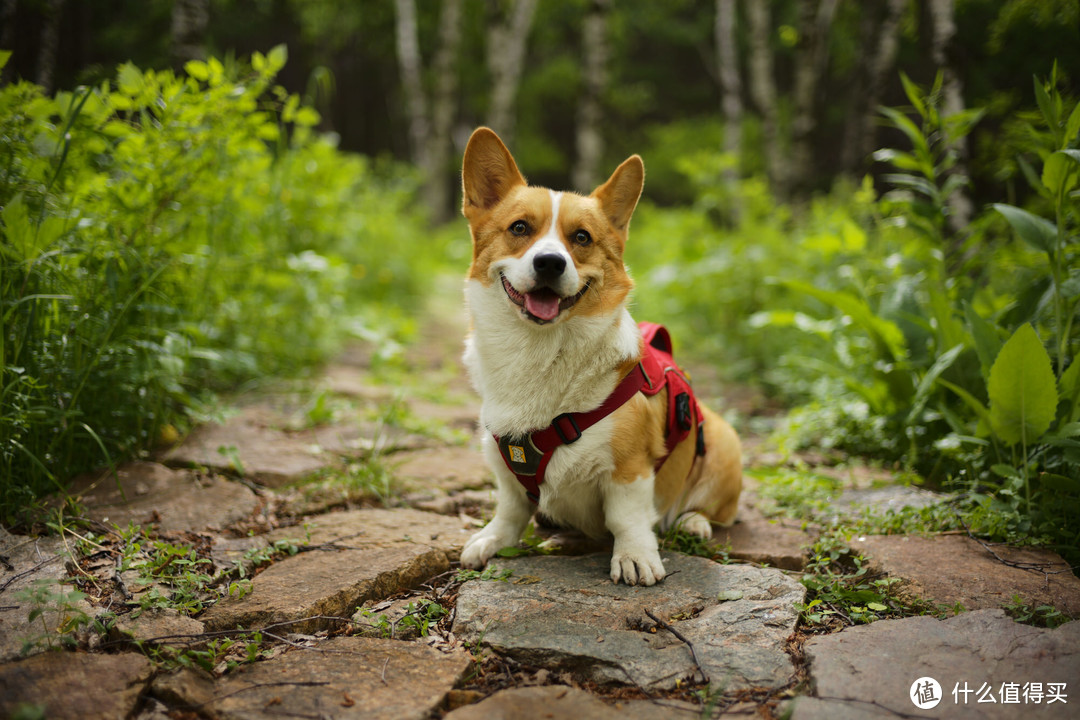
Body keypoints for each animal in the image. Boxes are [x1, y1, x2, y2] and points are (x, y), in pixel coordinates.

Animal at [455, 126, 743, 587]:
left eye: (581, 238)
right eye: (519, 228)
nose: (550, 263)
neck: (540, 349)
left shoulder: (630, 468)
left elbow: (627, 517)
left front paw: (635, 558)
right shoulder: (500, 455)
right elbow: (511, 508)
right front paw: (490, 539)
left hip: (723, 445)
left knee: (715, 512)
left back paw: (693, 522)